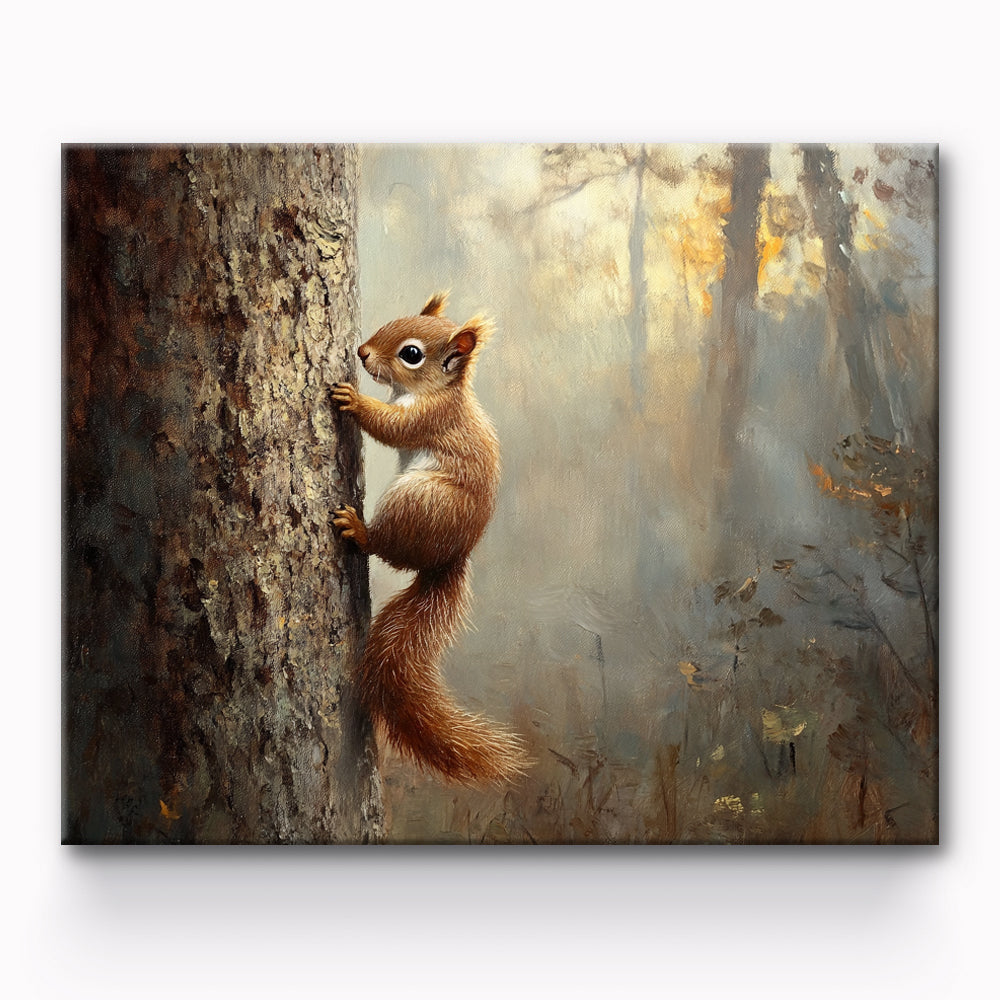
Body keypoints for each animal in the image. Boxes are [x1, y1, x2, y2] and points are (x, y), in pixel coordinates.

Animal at [331, 292, 528, 785]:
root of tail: (447, 559)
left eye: (411, 354)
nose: (361, 352)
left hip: (418, 501)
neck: (431, 392)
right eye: (393, 321)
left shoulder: (430, 418)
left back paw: (359, 529)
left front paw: (354, 400)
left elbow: (392, 428)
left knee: (380, 547)